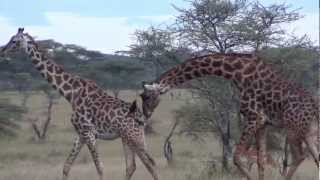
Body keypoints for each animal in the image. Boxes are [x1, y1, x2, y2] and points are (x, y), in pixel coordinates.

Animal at [0, 27, 159, 180]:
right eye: (11, 39)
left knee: (150, 164)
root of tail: (142, 117)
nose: (2, 50)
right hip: (127, 138)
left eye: (14, 41)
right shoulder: (81, 133)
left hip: (134, 137)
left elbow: (100, 167)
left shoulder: (89, 132)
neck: (71, 94)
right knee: (132, 166)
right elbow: (66, 166)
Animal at [140, 52, 318, 180]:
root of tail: (315, 107)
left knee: (300, 156)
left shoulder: (254, 118)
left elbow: (237, 157)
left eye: (145, 96)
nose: (145, 115)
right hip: (309, 131)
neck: (238, 74)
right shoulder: (263, 124)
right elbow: (260, 160)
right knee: (316, 157)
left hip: (293, 129)